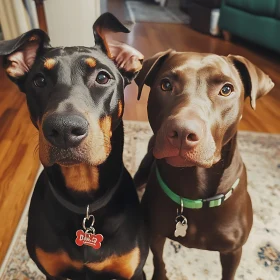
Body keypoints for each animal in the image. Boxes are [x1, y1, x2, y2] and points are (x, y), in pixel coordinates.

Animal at [0, 13, 149, 280]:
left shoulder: (134, 272)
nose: (64, 129)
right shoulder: (52, 272)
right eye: (39, 80)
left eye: (102, 77)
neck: (84, 202)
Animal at [135, 50, 274, 280]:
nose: (182, 132)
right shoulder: (155, 233)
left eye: (226, 89)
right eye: (165, 84)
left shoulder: (233, 251)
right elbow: (158, 260)